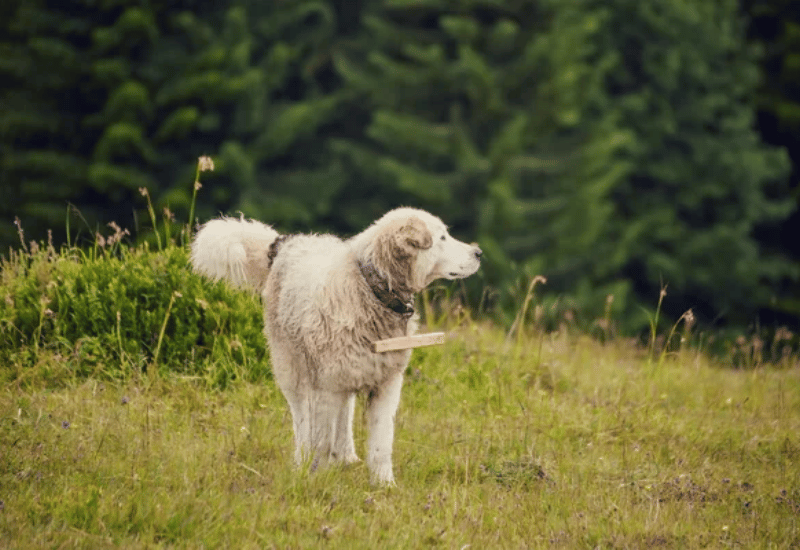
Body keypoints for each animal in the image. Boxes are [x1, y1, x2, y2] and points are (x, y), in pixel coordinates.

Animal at [189, 208, 482, 488]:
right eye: (442, 238)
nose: (479, 252)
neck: (371, 290)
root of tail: (288, 242)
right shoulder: (326, 387)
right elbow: (321, 439)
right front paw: (317, 478)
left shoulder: (386, 384)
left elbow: (381, 443)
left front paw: (385, 485)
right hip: (294, 372)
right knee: (303, 421)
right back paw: (304, 460)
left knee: (344, 413)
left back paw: (346, 457)